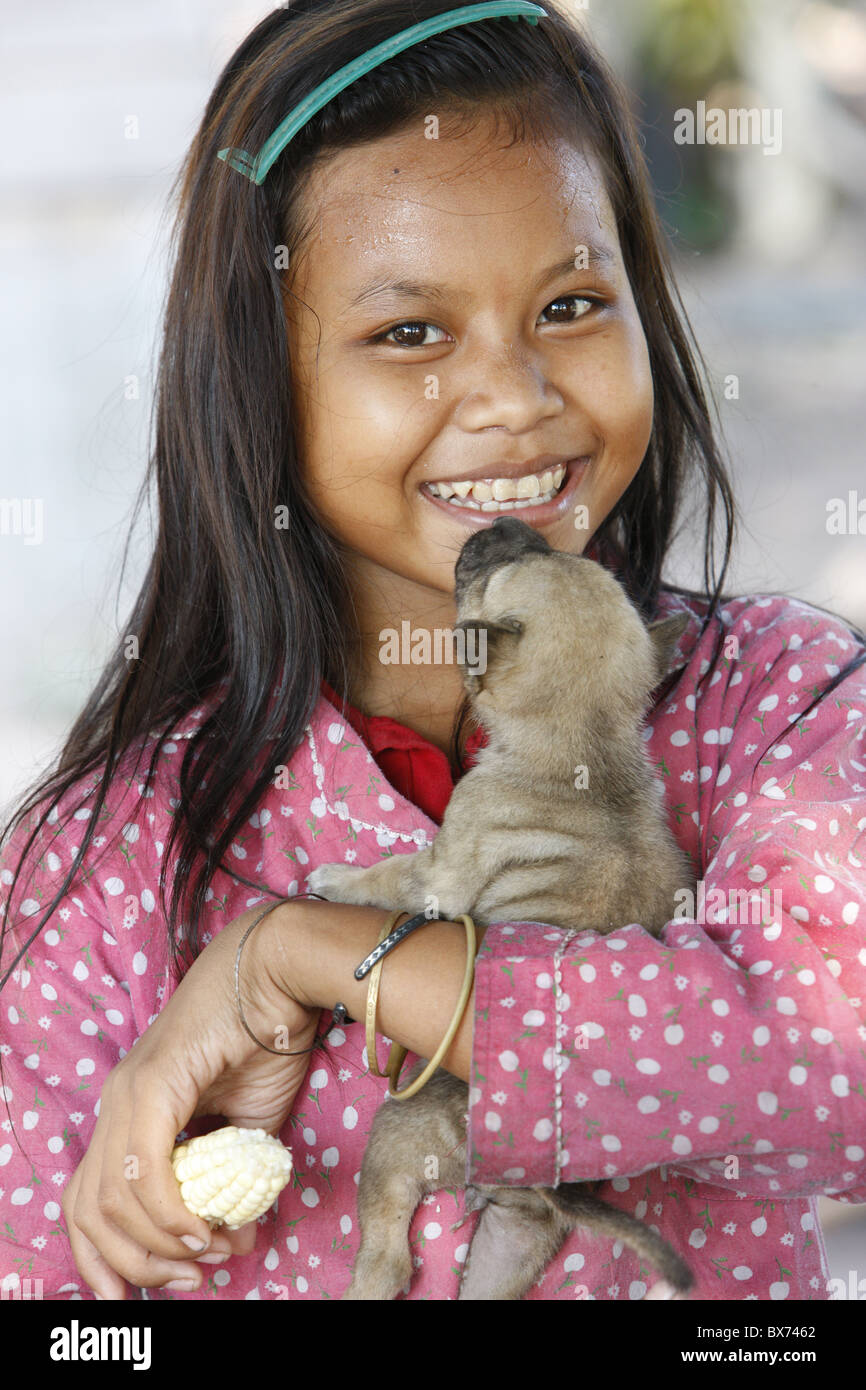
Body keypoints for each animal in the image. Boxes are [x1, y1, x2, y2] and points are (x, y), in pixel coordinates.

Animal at [308, 517, 695, 1295]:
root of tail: (543, 1183)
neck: (587, 740)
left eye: (494, 572)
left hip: (394, 1140)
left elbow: (391, 874)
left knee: (387, 1254)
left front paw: (337, 879)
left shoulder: (443, 867)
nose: (506, 525)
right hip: (516, 1241)